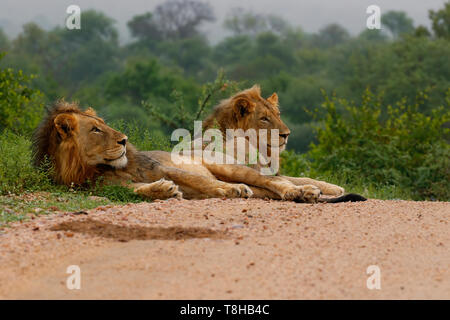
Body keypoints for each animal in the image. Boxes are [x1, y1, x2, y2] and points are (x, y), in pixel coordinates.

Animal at [32, 101, 366, 204]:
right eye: (95, 130)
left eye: (102, 124)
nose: (125, 140)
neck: (93, 167)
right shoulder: (103, 187)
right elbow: (136, 190)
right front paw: (163, 191)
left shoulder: (165, 167)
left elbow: (202, 182)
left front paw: (228, 191)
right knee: (269, 188)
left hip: (225, 165)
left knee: (275, 181)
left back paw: (304, 191)